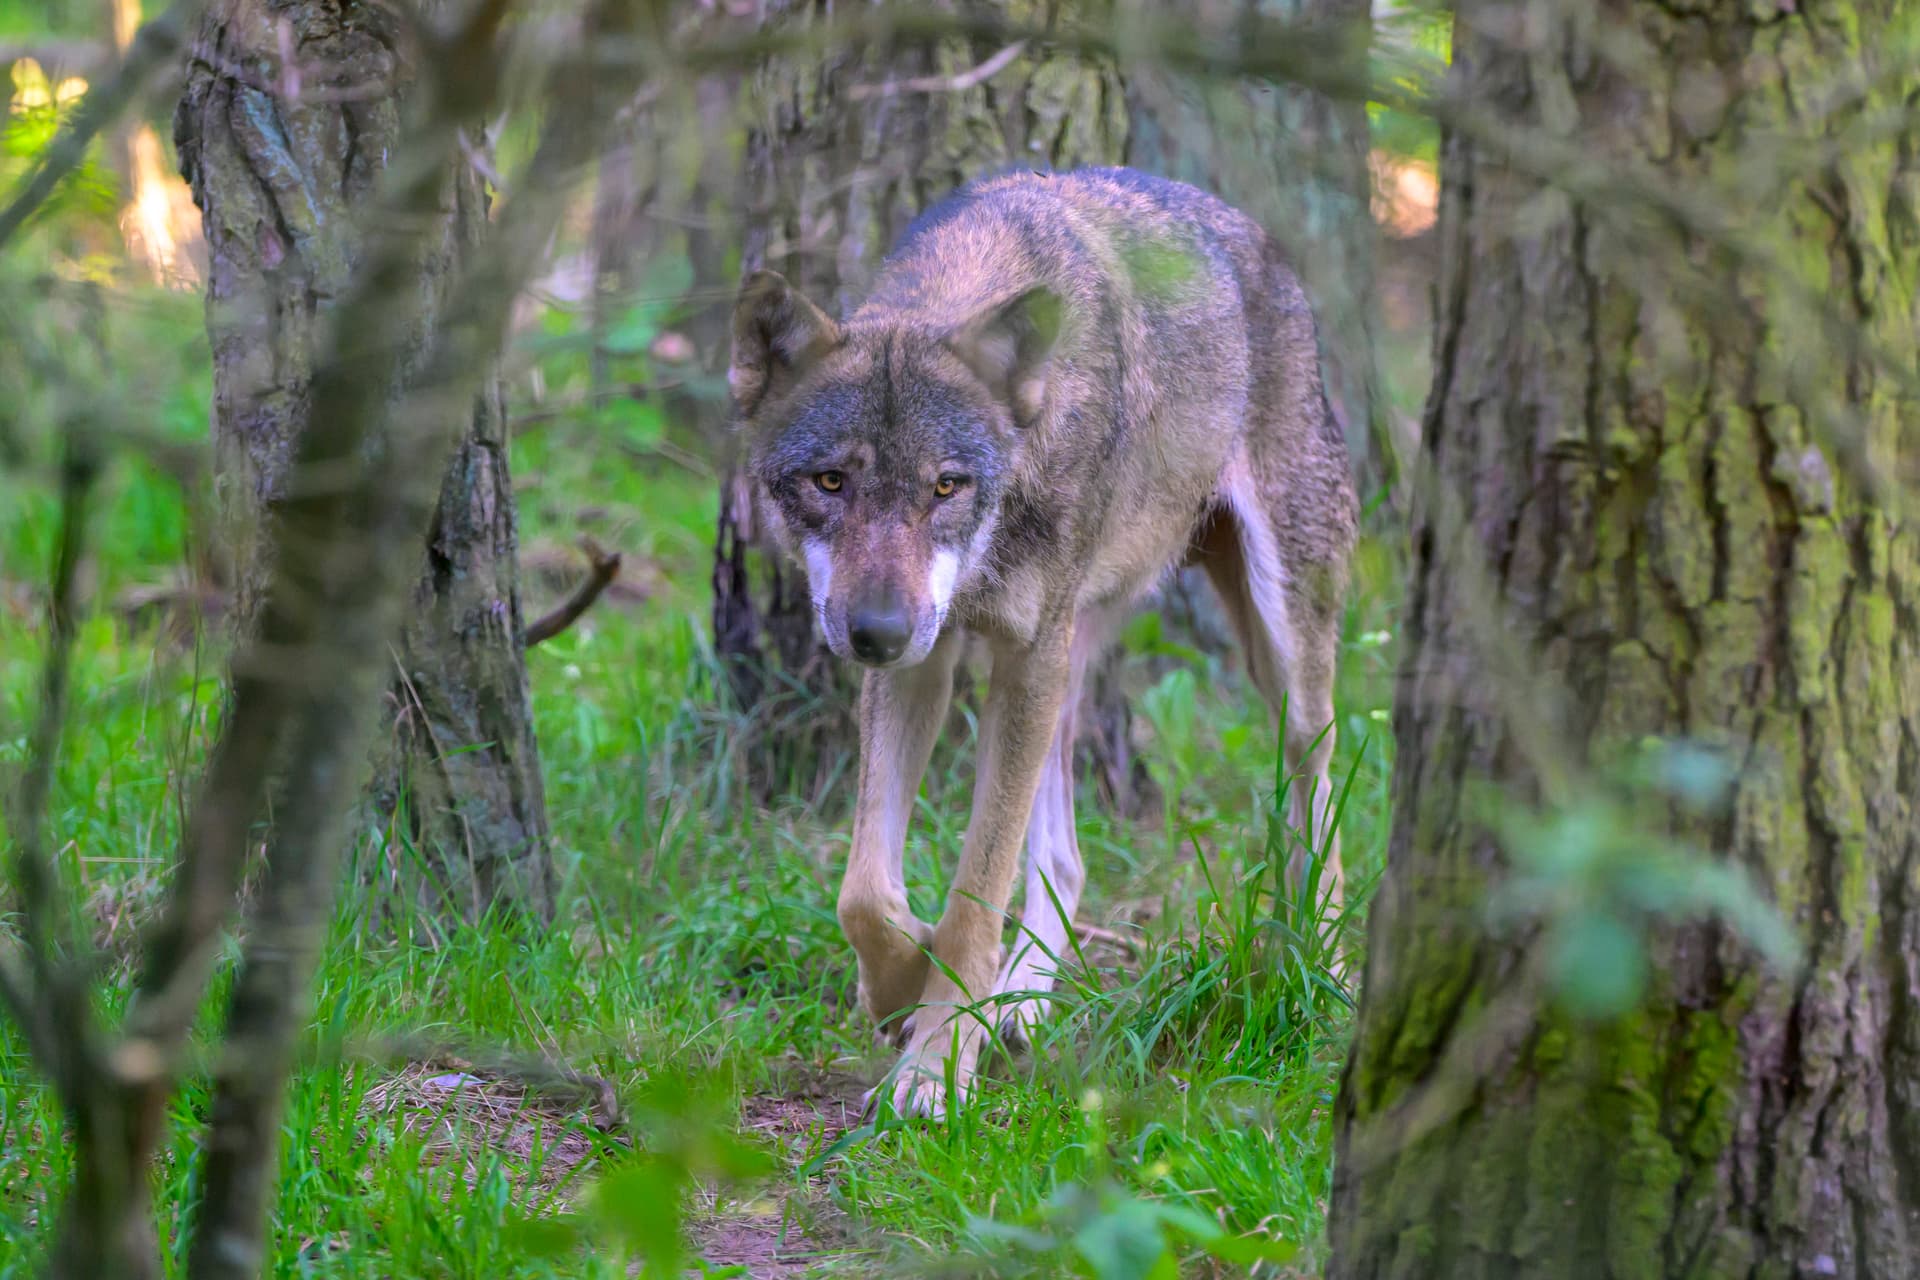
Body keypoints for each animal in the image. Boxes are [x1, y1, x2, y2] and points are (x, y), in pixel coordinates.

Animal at [727, 167, 1357, 1116]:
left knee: (1318, 783)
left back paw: (1330, 971)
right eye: (829, 482)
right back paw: (1017, 1005)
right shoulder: (928, 664)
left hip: (1274, 647)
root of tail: (1255, 237)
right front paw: (903, 990)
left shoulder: (1017, 657)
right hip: (1066, 660)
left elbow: (973, 896)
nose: (875, 633)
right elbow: (866, 892)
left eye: (946, 486)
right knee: (1065, 860)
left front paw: (935, 1070)